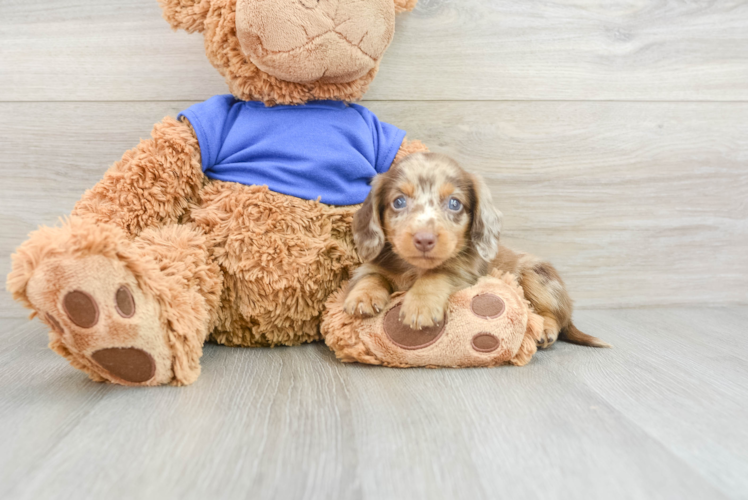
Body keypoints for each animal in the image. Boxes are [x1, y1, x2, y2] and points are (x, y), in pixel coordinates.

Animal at [344, 152, 608, 348]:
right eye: (398, 202)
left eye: (454, 203)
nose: (424, 240)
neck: (414, 268)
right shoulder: (375, 265)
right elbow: (372, 275)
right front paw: (363, 296)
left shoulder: (465, 276)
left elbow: (437, 274)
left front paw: (420, 306)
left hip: (537, 275)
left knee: (557, 317)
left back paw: (545, 329)